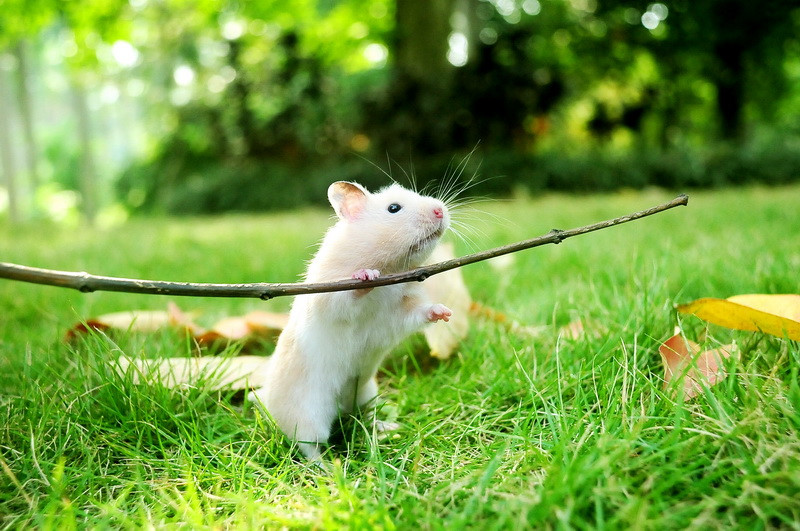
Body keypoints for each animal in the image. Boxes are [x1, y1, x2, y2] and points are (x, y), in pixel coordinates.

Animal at [249, 181, 452, 461]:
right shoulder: (330, 295)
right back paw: (326, 466)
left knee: (363, 416)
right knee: (308, 445)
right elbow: (348, 297)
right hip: (307, 415)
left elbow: (419, 312)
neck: (392, 268)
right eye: (394, 208)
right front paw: (367, 275)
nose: (440, 210)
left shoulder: (398, 313)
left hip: (366, 392)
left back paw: (388, 426)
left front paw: (444, 312)